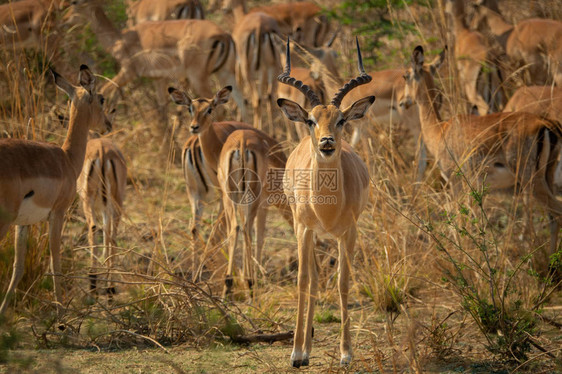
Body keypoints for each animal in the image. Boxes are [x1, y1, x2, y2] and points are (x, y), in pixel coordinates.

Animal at [0, 65, 111, 316]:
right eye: (101, 99)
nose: (108, 125)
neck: (67, 159)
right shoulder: (57, 214)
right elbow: (55, 263)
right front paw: (61, 316)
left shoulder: (23, 224)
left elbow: (17, 268)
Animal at [77, 137, 127, 298]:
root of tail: (101, 150)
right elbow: (107, 236)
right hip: (115, 202)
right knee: (112, 236)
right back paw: (110, 286)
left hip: (90, 201)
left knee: (93, 227)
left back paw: (93, 282)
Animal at [274, 38, 372, 368]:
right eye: (311, 119)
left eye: (341, 119)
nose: (326, 141)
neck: (327, 207)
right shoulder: (304, 229)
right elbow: (304, 281)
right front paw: (295, 353)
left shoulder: (349, 233)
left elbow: (343, 282)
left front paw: (346, 353)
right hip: (304, 232)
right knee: (313, 279)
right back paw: (304, 351)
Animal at [398, 44, 560, 254]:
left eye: (406, 75)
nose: (403, 101)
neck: (440, 129)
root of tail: (546, 124)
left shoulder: (455, 183)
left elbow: (460, 220)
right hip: (547, 176)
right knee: (552, 217)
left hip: (531, 180)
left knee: (557, 212)